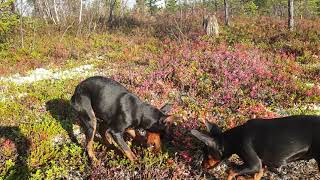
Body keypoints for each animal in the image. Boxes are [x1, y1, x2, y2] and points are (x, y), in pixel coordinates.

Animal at [191, 115, 320, 180]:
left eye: (207, 155)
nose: (201, 166)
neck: (236, 138)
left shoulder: (255, 164)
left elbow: (231, 171)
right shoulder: (260, 166)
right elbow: (257, 175)